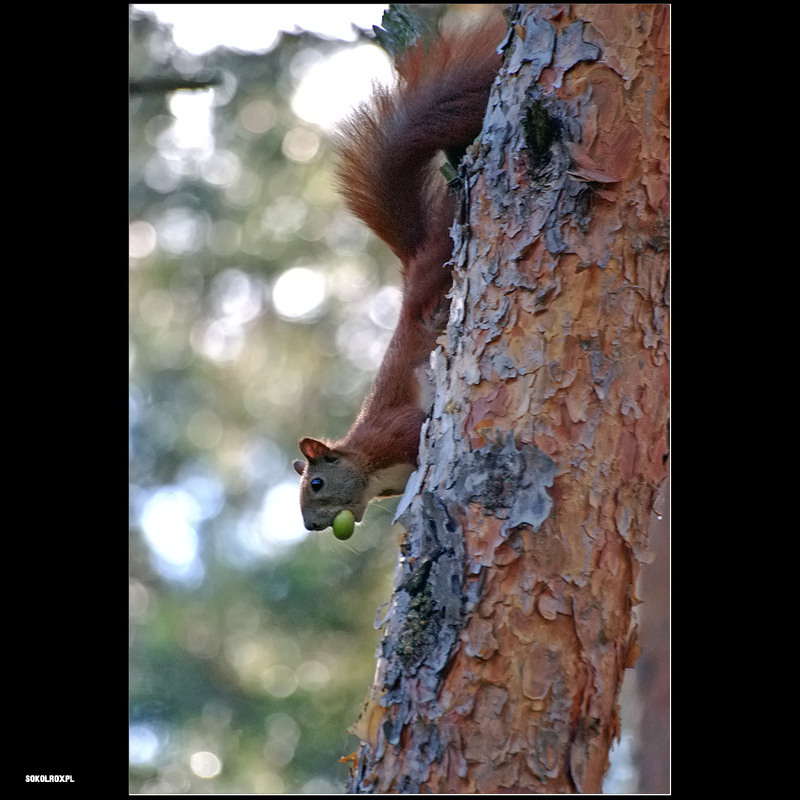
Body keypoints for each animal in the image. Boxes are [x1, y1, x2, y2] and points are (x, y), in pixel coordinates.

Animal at [294, 17, 506, 532]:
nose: (310, 526)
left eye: (316, 483)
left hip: (435, 280)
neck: (368, 465)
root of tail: (414, 262)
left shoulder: (396, 432)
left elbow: (416, 427)